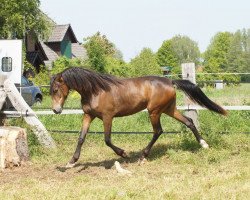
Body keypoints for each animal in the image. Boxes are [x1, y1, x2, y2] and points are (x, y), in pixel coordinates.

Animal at [50, 67, 227, 167]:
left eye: (56, 89)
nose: (56, 110)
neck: (95, 91)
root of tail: (170, 81)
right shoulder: (88, 115)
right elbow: (81, 138)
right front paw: (71, 162)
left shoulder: (108, 117)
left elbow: (107, 139)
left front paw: (124, 154)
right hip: (169, 109)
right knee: (189, 122)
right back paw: (203, 144)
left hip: (154, 111)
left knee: (158, 131)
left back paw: (142, 156)